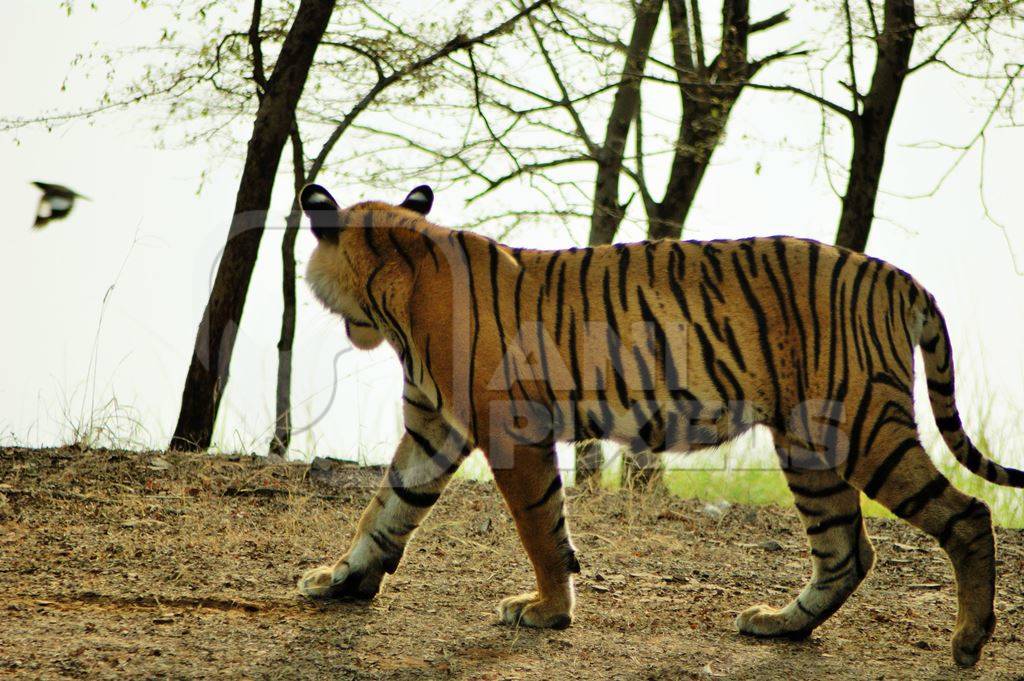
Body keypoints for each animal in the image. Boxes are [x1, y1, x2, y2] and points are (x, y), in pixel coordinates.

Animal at [296, 183, 1024, 667]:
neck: (396, 289)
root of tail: (898, 276)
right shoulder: (433, 427)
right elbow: (387, 507)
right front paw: (340, 578)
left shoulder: (509, 425)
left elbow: (539, 527)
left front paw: (547, 611)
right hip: (810, 441)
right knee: (845, 550)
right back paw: (781, 625)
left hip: (865, 427)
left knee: (966, 514)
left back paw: (968, 640)